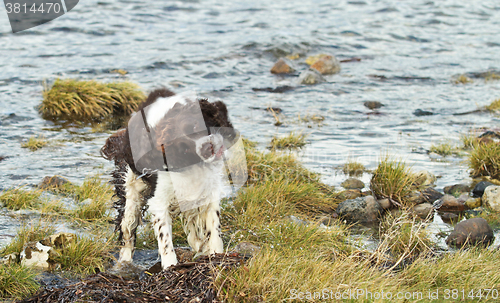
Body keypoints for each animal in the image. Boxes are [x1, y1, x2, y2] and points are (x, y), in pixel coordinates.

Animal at [100, 88, 237, 268]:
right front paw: (170, 266)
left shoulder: (209, 192)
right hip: (130, 195)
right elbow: (165, 239)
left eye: (198, 125)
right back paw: (124, 263)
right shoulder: (159, 200)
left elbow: (213, 229)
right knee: (127, 232)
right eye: (183, 144)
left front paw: (216, 255)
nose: (207, 148)